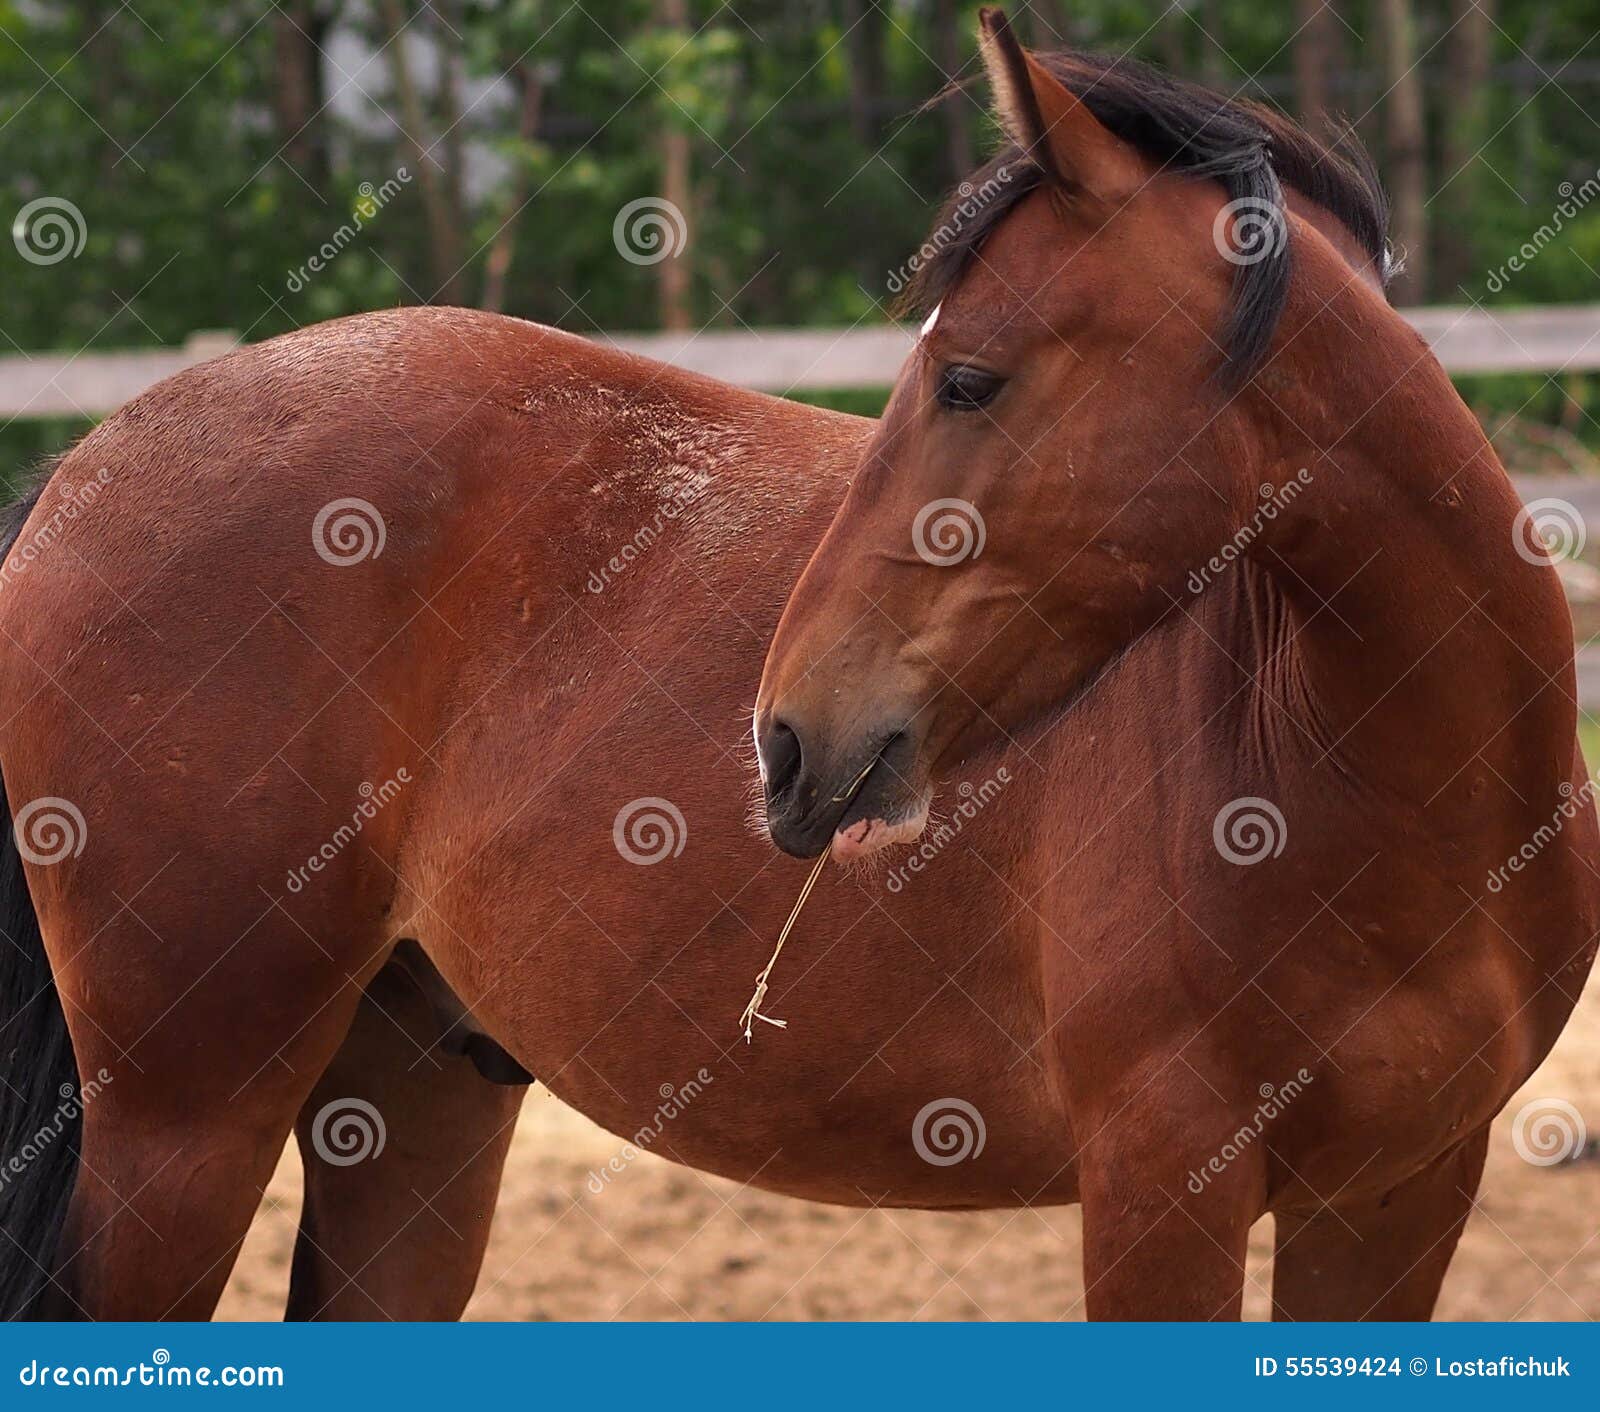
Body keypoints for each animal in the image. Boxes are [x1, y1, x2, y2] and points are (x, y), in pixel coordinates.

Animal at [0, 6, 1593, 1321]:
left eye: (970, 378)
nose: (783, 740)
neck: (1368, 789)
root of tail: (87, 466)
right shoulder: (1162, 1193)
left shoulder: (1395, 1201)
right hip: (187, 1124)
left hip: (411, 1102)